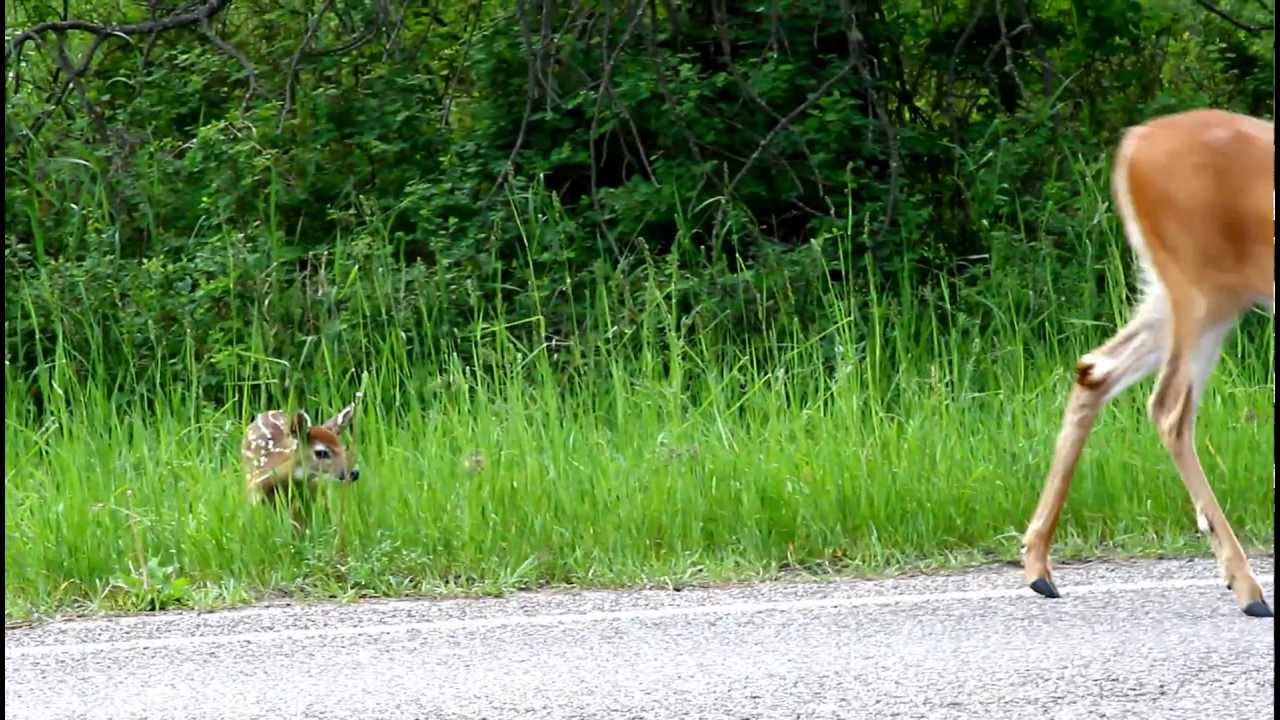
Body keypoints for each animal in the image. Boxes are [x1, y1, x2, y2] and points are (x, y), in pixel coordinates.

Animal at [1020, 108, 1274, 618]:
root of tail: (1134, 143)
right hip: (1202, 291)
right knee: (1169, 409)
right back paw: (1248, 589)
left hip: (1179, 292)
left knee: (1094, 369)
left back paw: (1038, 565)